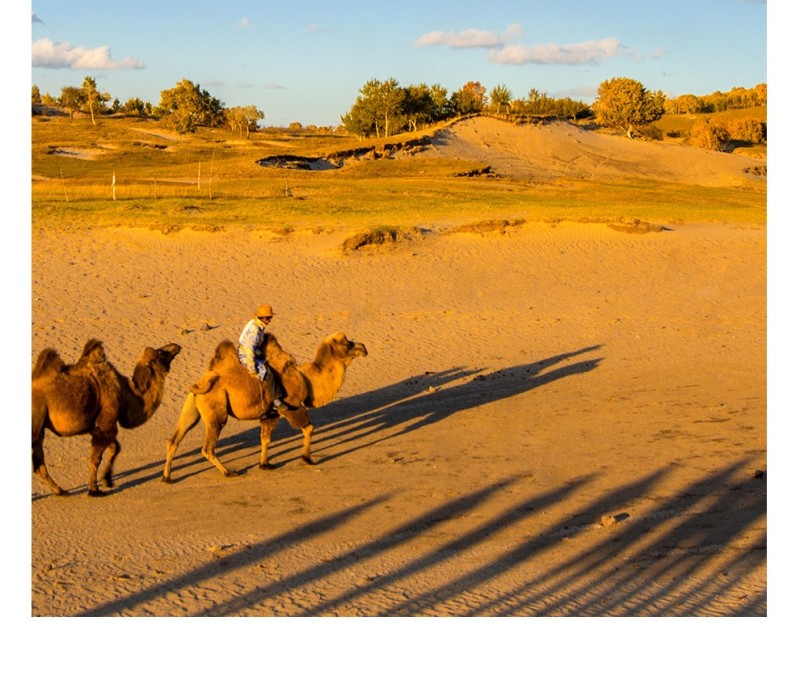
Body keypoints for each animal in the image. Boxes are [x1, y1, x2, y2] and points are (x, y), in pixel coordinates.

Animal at [31, 338, 181, 494]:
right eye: (161, 353)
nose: (176, 346)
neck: (126, 393)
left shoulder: (96, 425)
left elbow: (115, 447)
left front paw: (107, 479)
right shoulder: (107, 419)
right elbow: (96, 458)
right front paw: (94, 490)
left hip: (40, 427)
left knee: (39, 462)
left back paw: (60, 491)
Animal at [162, 330, 368, 482]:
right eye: (348, 343)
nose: (364, 347)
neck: (305, 378)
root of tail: (201, 382)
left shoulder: (270, 413)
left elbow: (265, 438)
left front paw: (265, 464)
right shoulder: (292, 405)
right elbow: (309, 428)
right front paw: (307, 458)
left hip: (193, 406)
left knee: (175, 438)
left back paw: (167, 477)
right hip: (216, 408)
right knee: (207, 447)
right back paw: (229, 472)